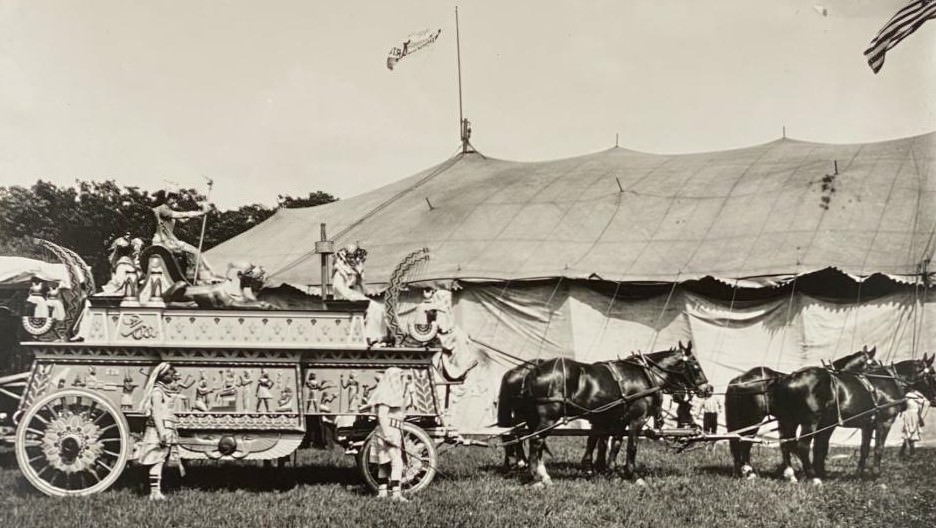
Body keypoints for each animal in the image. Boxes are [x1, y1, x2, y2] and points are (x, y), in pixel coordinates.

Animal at [516, 342, 704, 486]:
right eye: (696, 365)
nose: (707, 388)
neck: (645, 376)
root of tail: (533, 372)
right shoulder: (637, 419)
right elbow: (632, 446)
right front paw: (633, 475)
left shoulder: (620, 420)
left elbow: (616, 444)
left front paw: (610, 472)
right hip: (548, 417)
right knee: (536, 441)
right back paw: (535, 477)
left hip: (536, 418)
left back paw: (541, 475)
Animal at [724, 346, 876, 478]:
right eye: (874, 364)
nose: (871, 388)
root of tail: (738, 380)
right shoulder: (826, 423)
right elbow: (819, 446)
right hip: (755, 419)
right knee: (746, 441)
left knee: (740, 440)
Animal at [768, 352, 936, 484]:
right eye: (933, 373)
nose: (935, 399)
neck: (890, 382)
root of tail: (789, 378)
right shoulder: (884, 422)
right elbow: (879, 448)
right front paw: (876, 475)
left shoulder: (867, 425)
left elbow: (864, 449)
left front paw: (859, 475)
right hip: (810, 421)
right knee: (802, 445)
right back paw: (813, 477)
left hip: (789, 420)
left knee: (786, 443)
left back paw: (792, 474)